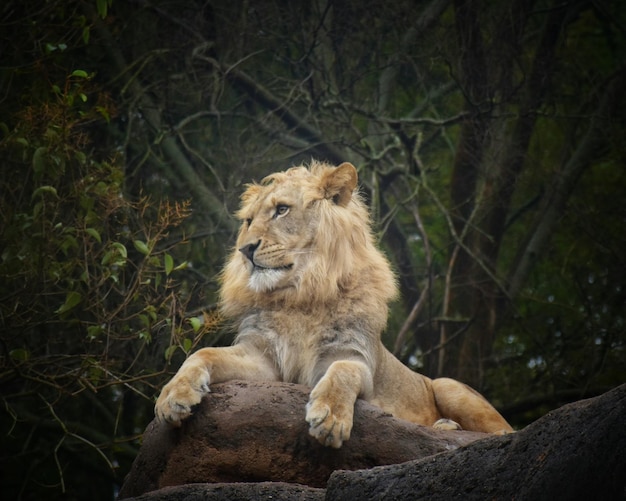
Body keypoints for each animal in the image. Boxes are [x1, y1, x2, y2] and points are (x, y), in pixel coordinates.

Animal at [154, 159, 510, 446]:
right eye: (248, 221)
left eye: (282, 210)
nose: (246, 249)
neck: (298, 296)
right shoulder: (263, 359)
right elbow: (203, 353)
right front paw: (173, 395)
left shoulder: (354, 355)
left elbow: (342, 372)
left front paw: (330, 417)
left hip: (450, 386)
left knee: (502, 432)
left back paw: (447, 426)